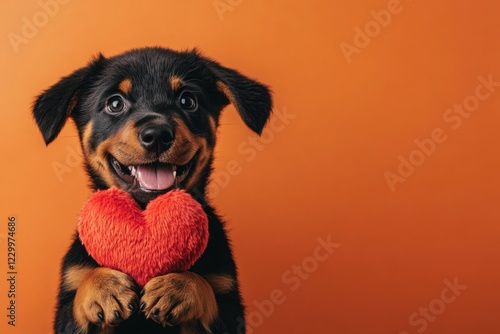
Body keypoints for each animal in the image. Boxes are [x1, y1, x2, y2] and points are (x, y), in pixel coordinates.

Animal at [30, 47, 272, 334]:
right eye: (115, 103)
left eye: (187, 101)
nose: (157, 134)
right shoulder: (70, 298)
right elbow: (83, 290)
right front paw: (104, 287)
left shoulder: (228, 302)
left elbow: (203, 287)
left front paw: (178, 287)